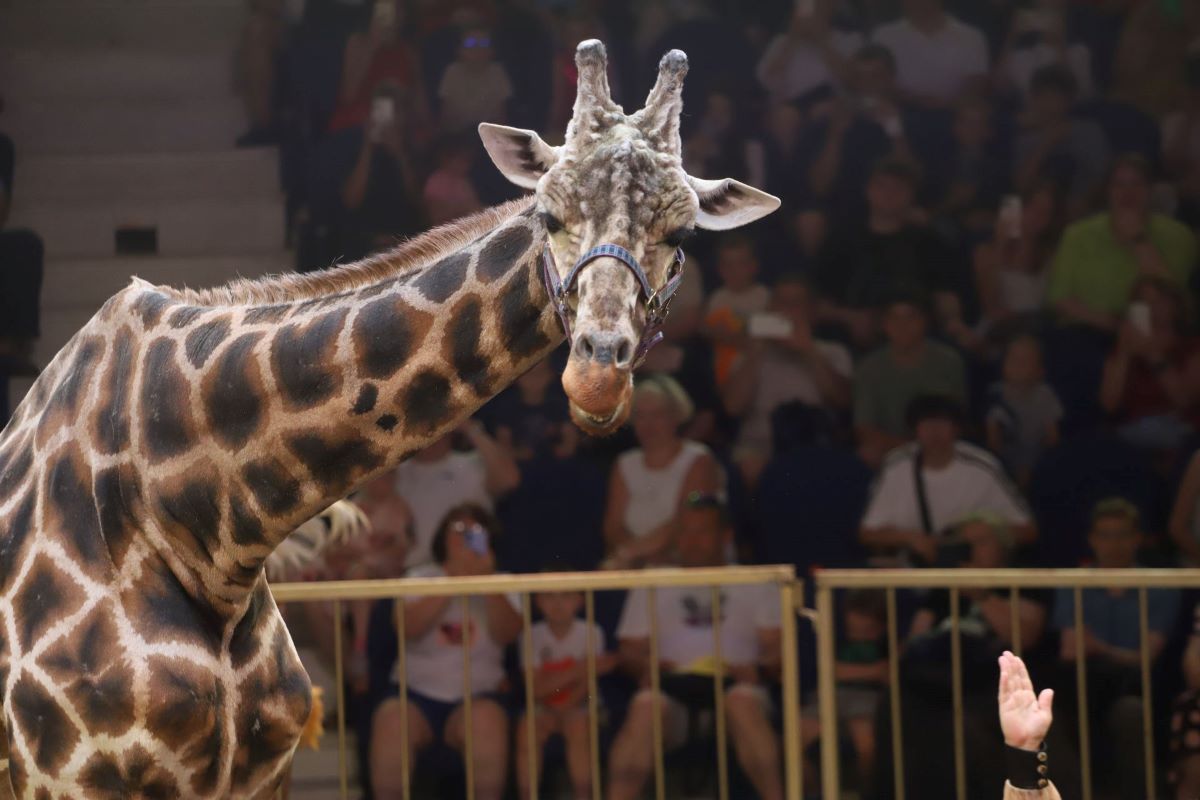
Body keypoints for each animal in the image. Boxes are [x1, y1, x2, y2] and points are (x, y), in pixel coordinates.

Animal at [0, 41, 778, 798]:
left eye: (681, 232)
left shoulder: (261, 772)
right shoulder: (72, 774)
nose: (596, 375)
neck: (206, 531)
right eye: (549, 216)